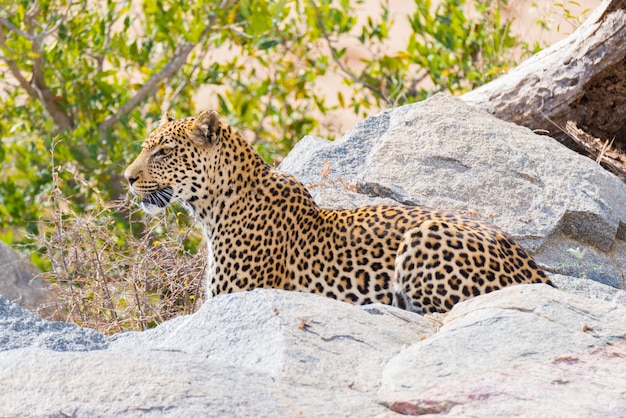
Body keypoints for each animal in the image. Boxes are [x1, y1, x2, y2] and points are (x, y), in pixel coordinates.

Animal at [124, 108, 552, 314]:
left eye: (163, 152)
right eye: (145, 147)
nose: (127, 178)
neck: (214, 207)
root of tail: (537, 273)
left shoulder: (238, 294)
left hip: (424, 237)